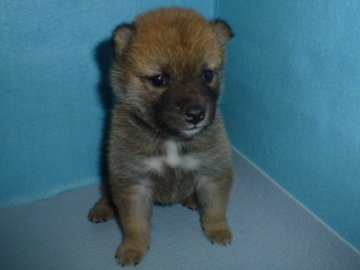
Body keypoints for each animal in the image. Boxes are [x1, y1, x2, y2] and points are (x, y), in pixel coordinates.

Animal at [88, 6, 235, 266]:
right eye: (159, 79)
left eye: (207, 74)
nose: (196, 114)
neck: (171, 139)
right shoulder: (133, 181)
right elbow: (134, 223)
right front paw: (133, 248)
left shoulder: (213, 170)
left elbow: (215, 207)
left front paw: (218, 230)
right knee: (106, 193)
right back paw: (102, 209)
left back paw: (192, 200)